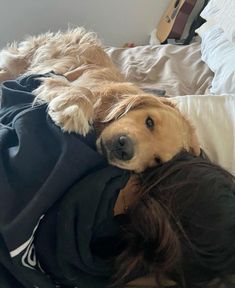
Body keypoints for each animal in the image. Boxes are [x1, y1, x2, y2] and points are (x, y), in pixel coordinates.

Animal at [0, 27, 200, 172]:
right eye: (149, 122)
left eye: (156, 160)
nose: (125, 149)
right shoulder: (65, 77)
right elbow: (82, 90)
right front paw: (74, 110)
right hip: (24, 58)